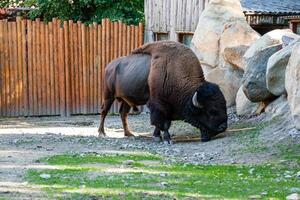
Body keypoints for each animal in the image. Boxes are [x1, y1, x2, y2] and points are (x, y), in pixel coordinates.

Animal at [98, 41, 227, 143]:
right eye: (211, 111)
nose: (223, 127)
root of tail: (109, 66)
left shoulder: (167, 107)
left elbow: (161, 123)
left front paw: (157, 136)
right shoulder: (159, 105)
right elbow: (163, 123)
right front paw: (166, 139)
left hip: (126, 100)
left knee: (123, 114)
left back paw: (129, 134)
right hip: (108, 95)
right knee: (104, 112)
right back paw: (101, 133)